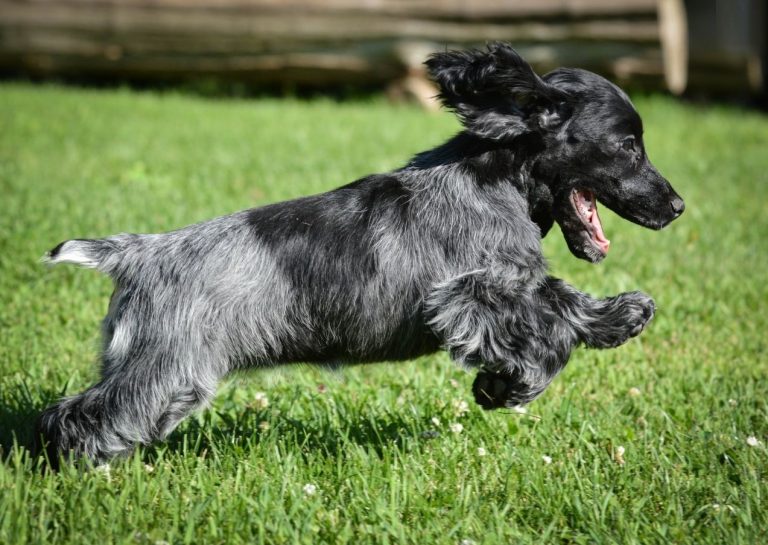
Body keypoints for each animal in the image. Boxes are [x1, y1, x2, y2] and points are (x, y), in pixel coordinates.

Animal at [36, 44, 684, 466]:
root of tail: (137, 252)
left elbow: (556, 301)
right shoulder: (471, 293)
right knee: (78, 417)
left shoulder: (489, 292)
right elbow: (552, 312)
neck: (495, 175)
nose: (677, 206)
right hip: (168, 369)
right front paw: (523, 379)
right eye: (628, 145)